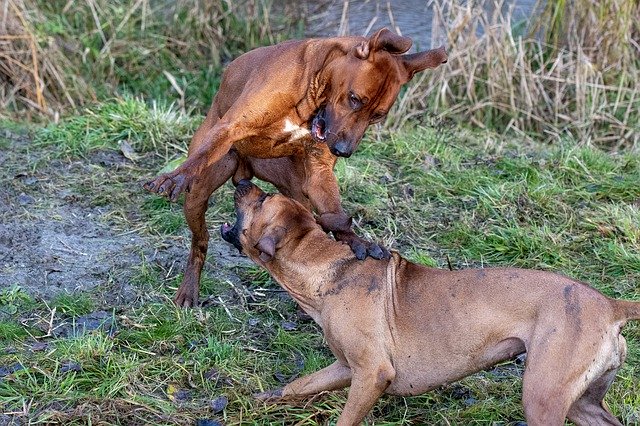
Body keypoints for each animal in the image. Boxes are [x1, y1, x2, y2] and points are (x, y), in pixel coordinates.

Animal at [143, 27, 448, 306]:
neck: (312, 94)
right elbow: (207, 151)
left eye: (377, 116)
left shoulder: (319, 172)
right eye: (354, 99)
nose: (344, 151)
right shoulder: (231, 128)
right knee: (200, 241)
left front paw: (355, 239)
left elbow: (336, 215)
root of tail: (245, 169)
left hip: (298, 193)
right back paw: (189, 290)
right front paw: (175, 176)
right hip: (198, 196)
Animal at [221, 179, 640, 426]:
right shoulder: (344, 368)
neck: (326, 266)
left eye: (261, 198)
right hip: (583, 403)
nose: (241, 180)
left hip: (543, 397)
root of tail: (610, 305)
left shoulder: (372, 373)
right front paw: (260, 400)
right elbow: (297, 385)